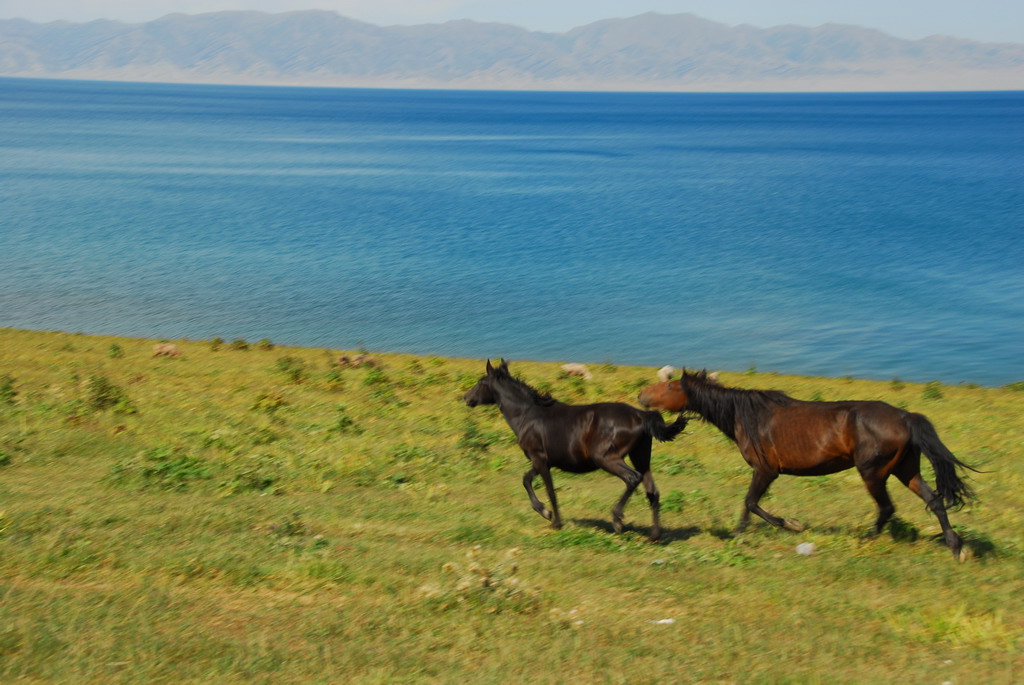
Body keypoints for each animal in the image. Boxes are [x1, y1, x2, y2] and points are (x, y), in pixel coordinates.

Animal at [464, 358, 688, 540]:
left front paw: (553, 520)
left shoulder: (539, 458)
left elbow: (548, 489)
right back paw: (655, 535)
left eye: (481, 382)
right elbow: (527, 480)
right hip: (640, 456)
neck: (527, 415)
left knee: (633, 478)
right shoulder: (542, 461)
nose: (467, 398)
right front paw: (546, 512)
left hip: (606, 457)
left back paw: (617, 520)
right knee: (652, 491)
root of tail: (642, 416)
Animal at [634, 370, 978, 557]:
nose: (641, 396)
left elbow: (751, 502)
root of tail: (907, 417)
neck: (745, 416)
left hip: (874, 473)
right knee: (934, 500)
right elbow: (749, 504)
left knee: (887, 508)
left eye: (668, 387)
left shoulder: (766, 470)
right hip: (905, 470)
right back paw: (956, 547)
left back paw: (868, 539)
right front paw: (743, 534)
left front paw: (786, 525)